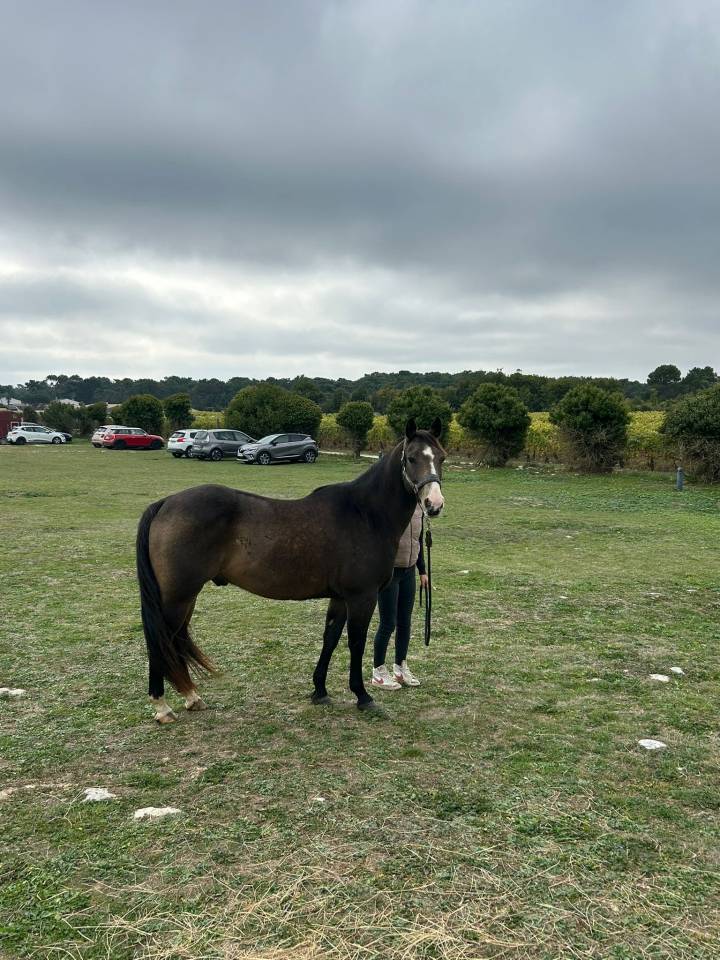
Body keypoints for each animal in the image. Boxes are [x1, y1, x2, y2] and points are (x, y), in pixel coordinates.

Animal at [136, 417, 445, 722]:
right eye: (412, 458)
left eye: (441, 457)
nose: (434, 504)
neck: (365, 514)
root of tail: (165, 503)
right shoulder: (362, 597)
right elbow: (356, 643)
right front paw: (362, 696)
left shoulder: (340, 598)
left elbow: (330, 639)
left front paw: (319, 690)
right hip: (177, 598)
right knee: (160, 642)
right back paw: (162, 706)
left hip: (186, 598)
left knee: (174, 640)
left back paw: (191, 697)